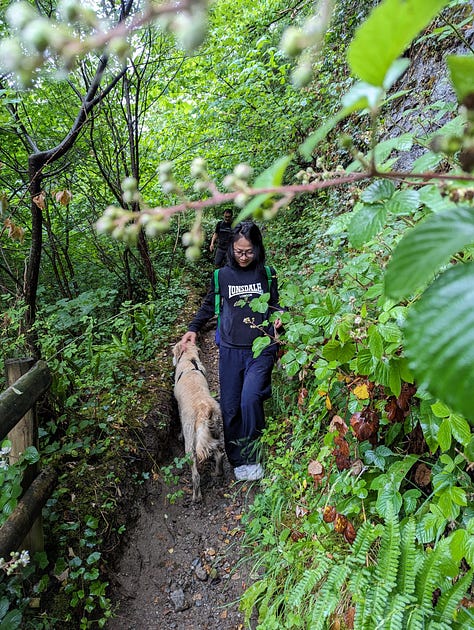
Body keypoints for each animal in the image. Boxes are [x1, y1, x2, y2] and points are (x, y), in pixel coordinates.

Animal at [172, 340, 224, 504]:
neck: (190, 360)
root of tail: (204, 409)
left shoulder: (179, 409)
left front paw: (179, 434)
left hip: (190, 444)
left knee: (196, 475)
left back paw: (196, 497)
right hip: (215, 430)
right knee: (219, 454)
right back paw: (218, 473)